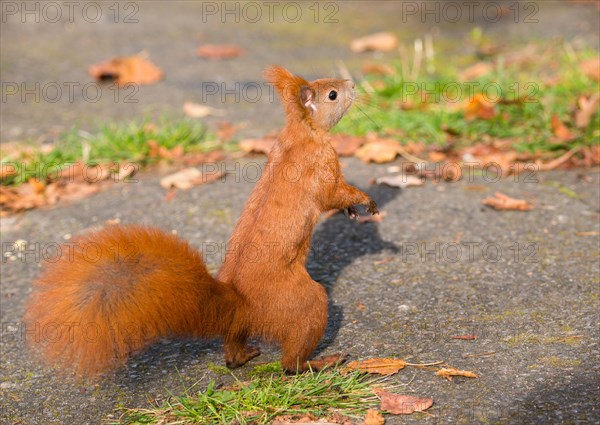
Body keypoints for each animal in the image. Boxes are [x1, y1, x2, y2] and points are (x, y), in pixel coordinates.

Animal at [25, 64, 380, 376]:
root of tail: (242, 304)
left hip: (247, 326)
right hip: (305, 305)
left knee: (234, 344)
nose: (352, 84)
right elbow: (334, 193)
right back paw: (322, 363)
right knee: (290, 364)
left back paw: (242, 356)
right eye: (332, 94)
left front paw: (354, 211)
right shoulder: (321, 166)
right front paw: (364, 202)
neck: (301, 132)